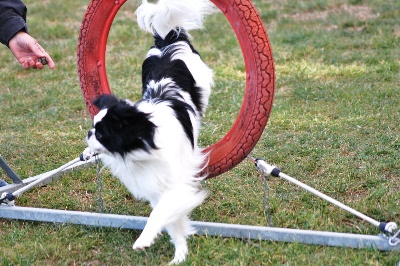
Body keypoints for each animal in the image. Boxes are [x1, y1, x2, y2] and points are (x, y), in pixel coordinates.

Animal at [85, 0, 214, 264]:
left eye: (101, 134)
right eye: (93, 128)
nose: (88, 134)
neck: (142, 149)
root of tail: (166, 41)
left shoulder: (175, 183)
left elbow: (161, 214)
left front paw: (145, 240)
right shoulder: (156, 186)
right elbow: (172, 221)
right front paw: (180, 253)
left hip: (202, 81)